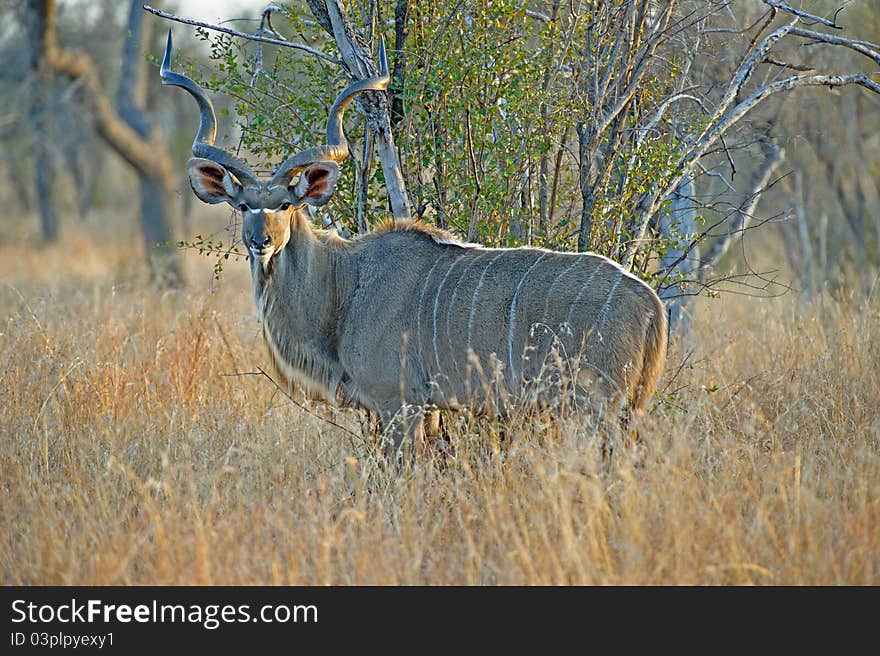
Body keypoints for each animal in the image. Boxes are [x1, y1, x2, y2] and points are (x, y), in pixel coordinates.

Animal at [162, 30, 668, 452]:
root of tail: (650, 304)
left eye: (286, 204)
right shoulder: (426, 409)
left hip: (596, 408)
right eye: (242, 204)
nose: (260, 241)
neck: (346, 284)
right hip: (625, 411)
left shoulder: (398, 404)